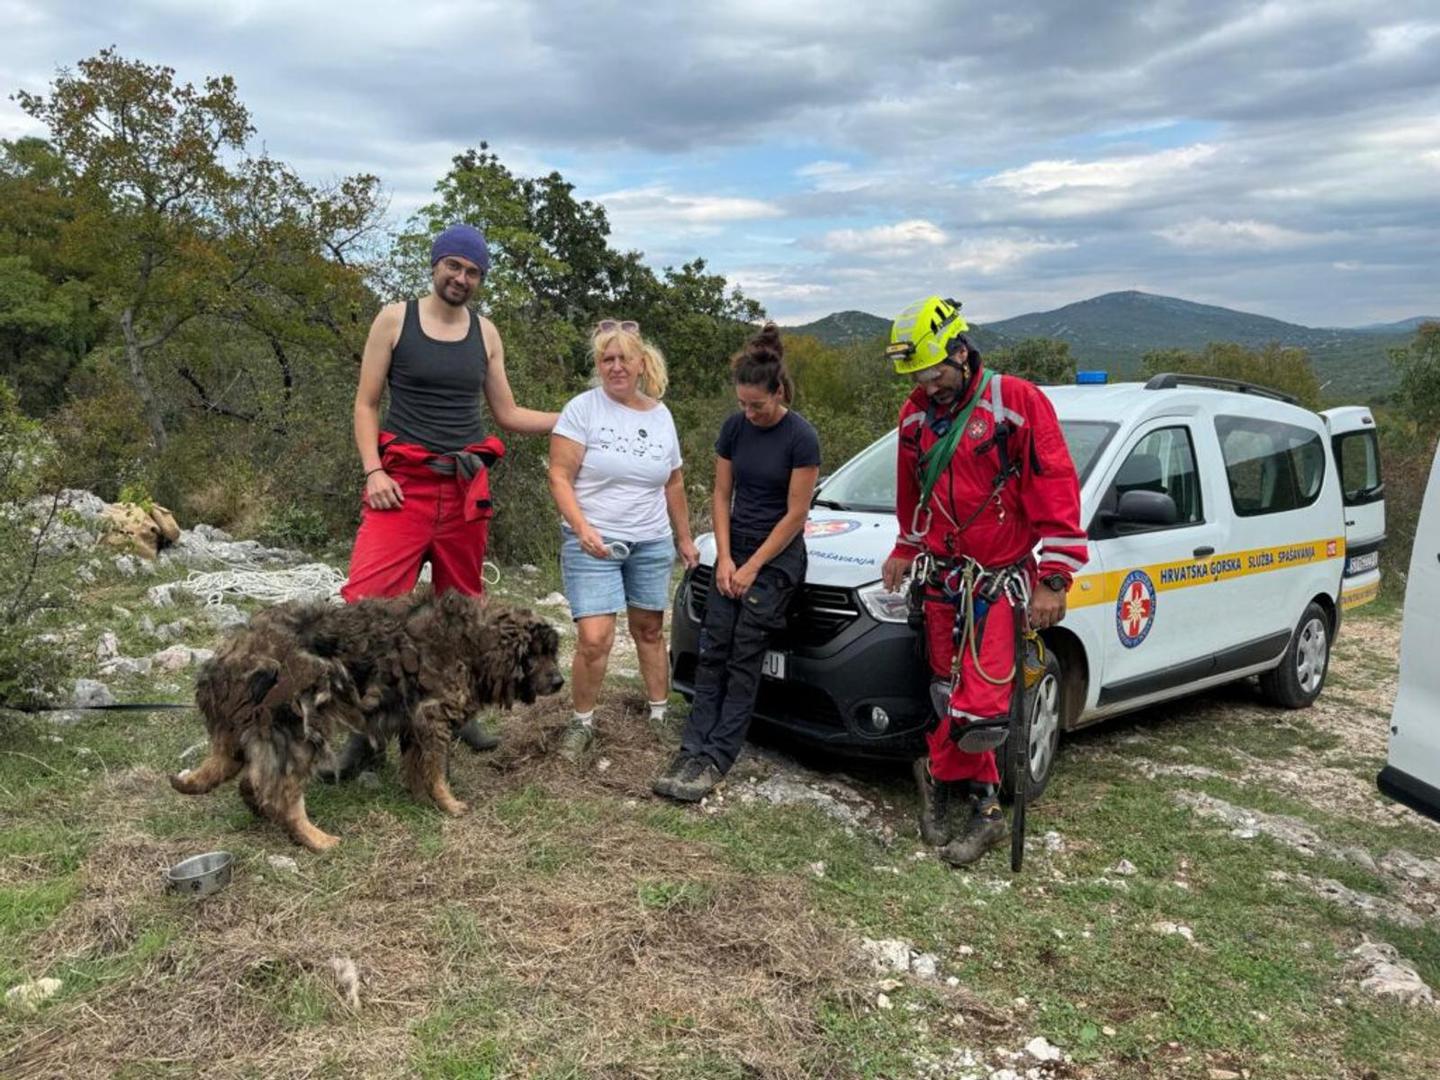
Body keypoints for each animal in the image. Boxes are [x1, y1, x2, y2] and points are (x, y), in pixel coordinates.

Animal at [171, 593, 564, 852]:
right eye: (535, 654)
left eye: (553, 653)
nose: (561, 682)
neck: (474, 640)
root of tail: (227, 659)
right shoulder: (432, 717)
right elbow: (435, 771)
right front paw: (449, 804)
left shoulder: (413, 723)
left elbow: (416, 767)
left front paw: (420, 798)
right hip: (298, 731)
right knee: (280, 794)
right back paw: (316, 839)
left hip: (258, 734)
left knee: (252, 784)